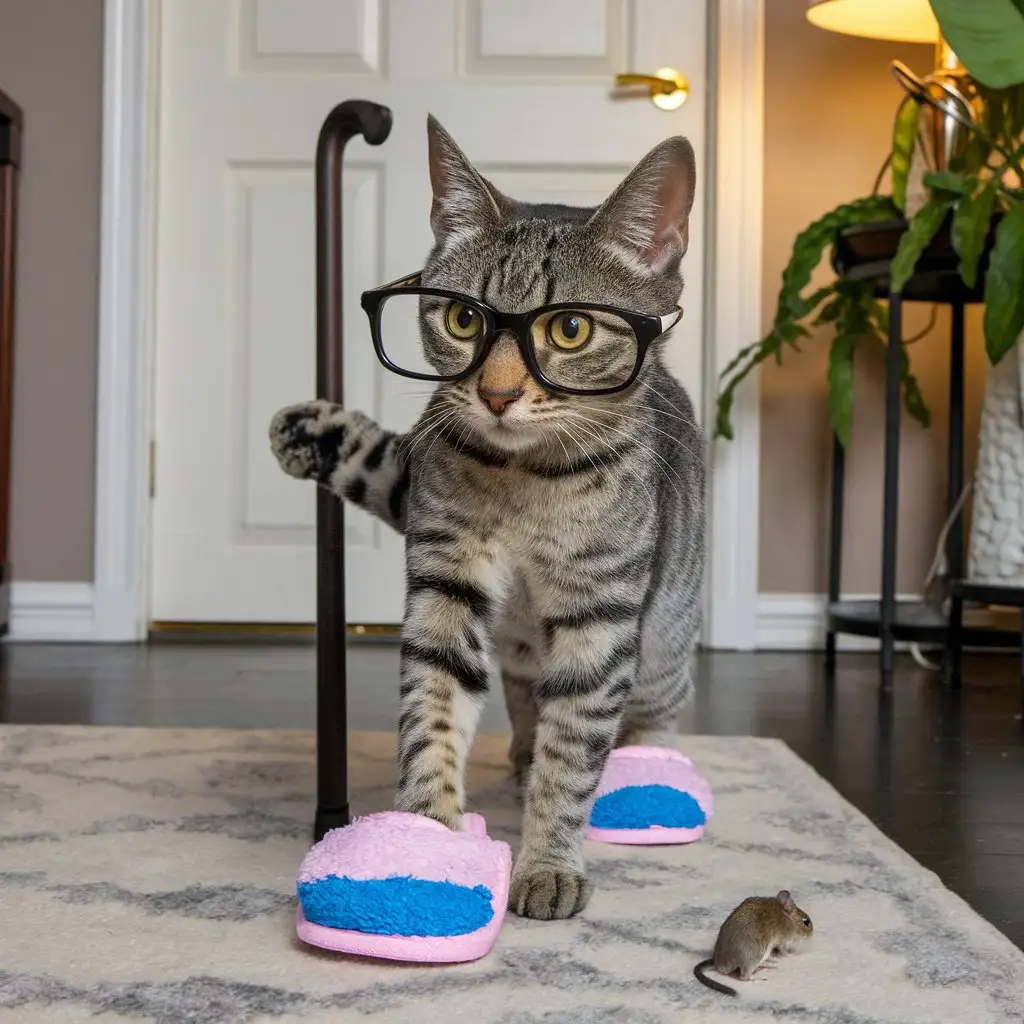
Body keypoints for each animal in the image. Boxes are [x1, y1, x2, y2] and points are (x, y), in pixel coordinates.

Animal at [268, 117, 708, 921]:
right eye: (463, 317)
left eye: (570, 330)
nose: (497, 394)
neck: (523, 484)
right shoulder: (446, 579)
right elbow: (432, 713)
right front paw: (423, 844)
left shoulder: (601, 616)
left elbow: (576, 751)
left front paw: (548, 861)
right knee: (527, 700)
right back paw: (521, 752)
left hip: (662, 640)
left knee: (651, 713)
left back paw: (645, 774)